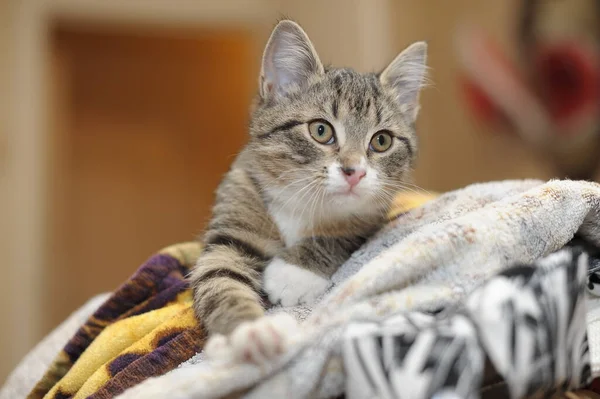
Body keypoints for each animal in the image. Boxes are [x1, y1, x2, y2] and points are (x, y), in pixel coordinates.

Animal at [190, 20, 428, 364]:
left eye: (381, 141)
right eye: (321, 130)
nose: (354, 171)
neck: (302, 201)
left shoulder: (372, 216)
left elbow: (338, 236)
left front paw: (292, 273)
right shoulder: (238, 207)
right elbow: (219, 276)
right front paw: (250, 332)